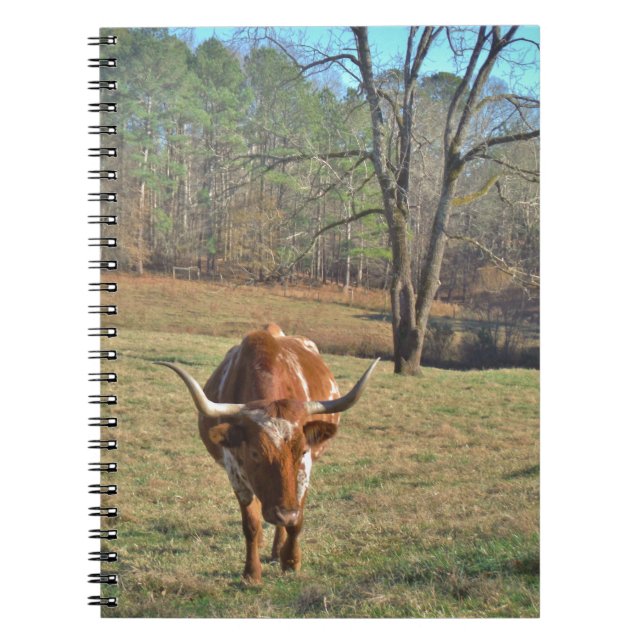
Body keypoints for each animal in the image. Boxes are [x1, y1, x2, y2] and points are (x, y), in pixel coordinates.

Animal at [156, 323, 378, 584]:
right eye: (255, 453)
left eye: (302, 450)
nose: (284, 513)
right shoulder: (235, 474)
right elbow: (251, 524)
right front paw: (252, 573)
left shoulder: (304, 471)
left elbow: (297, 521)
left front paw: (291, 561)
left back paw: (277, 548)